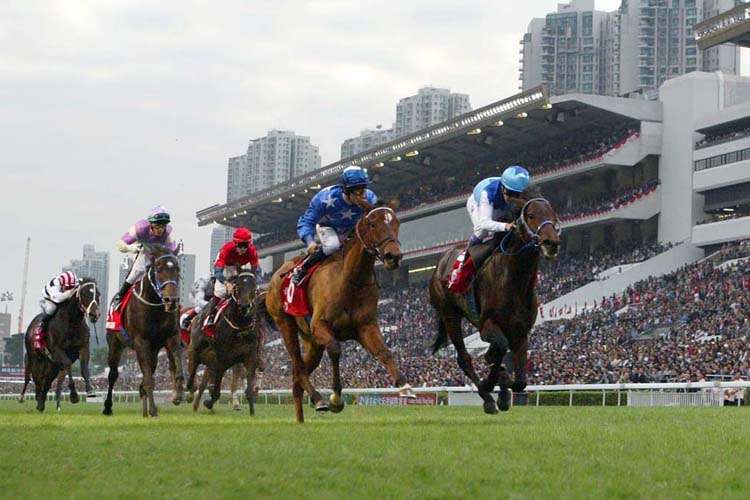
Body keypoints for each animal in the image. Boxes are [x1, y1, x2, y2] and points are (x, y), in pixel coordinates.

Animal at [19, 280, 101, 412]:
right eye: (84, 294)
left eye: (97, 294)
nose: (94, 314)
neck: (72, 323)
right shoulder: (57, 349)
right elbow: (67, 364)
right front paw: (74, 395)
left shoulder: (83, 347)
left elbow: (84, 369)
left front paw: (90, 390)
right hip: (34, 359)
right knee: (36, 379)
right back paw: (32, 399)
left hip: (52, 365)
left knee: (46, 382)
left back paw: (41, 403)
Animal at [103, 244, 187, 416]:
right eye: (159, 269)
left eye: (178, 269)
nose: (171, 301)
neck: (155, 306)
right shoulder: (141, 342)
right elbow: (148, 380)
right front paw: (154, 410)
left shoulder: (172, 337)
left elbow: (177, 364)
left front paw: (178, 394)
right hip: (115, 344)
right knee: (113, 374)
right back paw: (108, 407)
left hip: (153, 351)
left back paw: (144, 410)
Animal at [186, 272, 264, 416]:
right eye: (237, 286)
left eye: (254, 287)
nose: (244, 306)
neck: (240, 327)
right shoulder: (222, 358)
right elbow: (216, 390)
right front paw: (208, 402)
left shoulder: (250, 357)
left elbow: (248, 389)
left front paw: (252, 411)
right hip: (197, 346)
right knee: (194, 362)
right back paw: (190, 389)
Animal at [262, 199, 418, 422]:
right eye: (372, 223)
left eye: (396, 222)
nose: (393, 256)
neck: (351, 278)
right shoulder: (321, 325)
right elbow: (336, 349)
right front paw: (335, 399)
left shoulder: (365, 326)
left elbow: (384, 352)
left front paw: (405, 386)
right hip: (285, 324)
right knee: (299, 367)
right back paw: (318, 398)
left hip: (312, 342)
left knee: (296, 378)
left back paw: (300, 420)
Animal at [432, 196, 560, 414]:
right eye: (531, 215)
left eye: (553, 214)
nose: (551, 243)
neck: (515, 280)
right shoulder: (487, 325)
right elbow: (499, 347)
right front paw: (489, 383)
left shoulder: (520, 331)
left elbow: (520, 381)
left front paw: (502, 389)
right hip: (450, 315)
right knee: (464, 359)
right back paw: (488, 399)